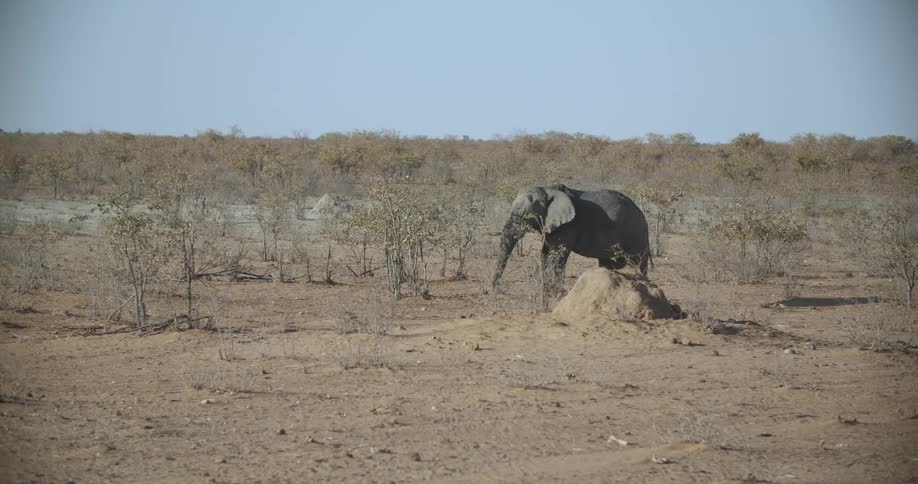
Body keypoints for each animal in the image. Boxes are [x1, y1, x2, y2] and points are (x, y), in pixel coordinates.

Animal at [490, 184, 651, 290]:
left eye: (527, 215)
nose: (491, 290)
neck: (547, 189)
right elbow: (545, 253)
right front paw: (546, 289)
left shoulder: (568, 226)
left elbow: (557, 256)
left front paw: (553, 292)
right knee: (608, 264)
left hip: (636, 234)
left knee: (638, 263)